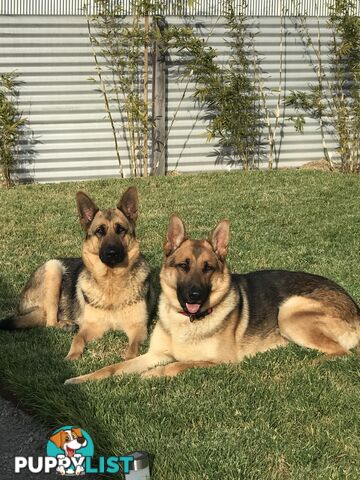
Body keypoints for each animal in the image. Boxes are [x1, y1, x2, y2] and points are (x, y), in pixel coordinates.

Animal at [0, 186, 152, 362]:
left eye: (120, 230)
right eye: (100, 231)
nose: (112, 253)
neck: (111, 282)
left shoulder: (138, 328)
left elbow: (133, 349)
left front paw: (128, 360)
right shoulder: (91, 326)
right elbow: (78, 338)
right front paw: (71, 356)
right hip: (53, 268)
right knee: (49, 322)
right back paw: (65, 325)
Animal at [64, 216, 360, 384]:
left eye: (208, 268)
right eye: (183, 266)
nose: (195, 295)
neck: (188, 321)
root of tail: (355, 308)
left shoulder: (221, 362)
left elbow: (178, 364)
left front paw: (151, 376)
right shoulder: (155, 354)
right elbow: (114, 367)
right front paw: (81, 378)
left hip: (288, 313)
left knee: (342, 353)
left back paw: (305, 364)